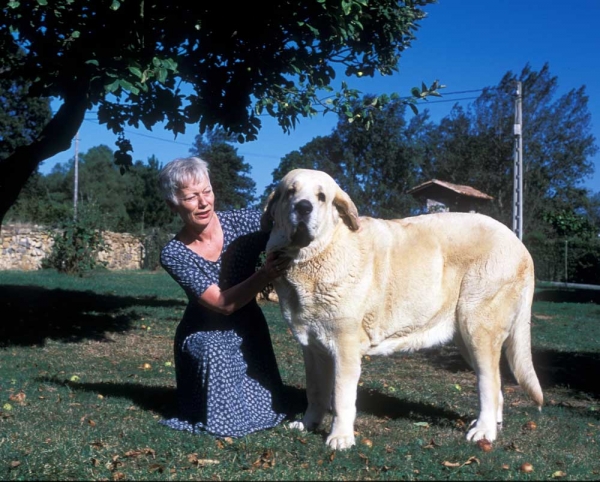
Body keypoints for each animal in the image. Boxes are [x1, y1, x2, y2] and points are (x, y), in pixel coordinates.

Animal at [262, 168, 544, 450]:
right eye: (290, 192)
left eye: (321, 197)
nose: (303, 207)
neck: (316, 254)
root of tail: (519, 245)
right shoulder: (312, 349)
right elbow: (315, 391)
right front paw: (308, 424)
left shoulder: (345, 347)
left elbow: (341, 396)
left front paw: (340, 437)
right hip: (466, 337)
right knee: (494, 384)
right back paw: (490, 424)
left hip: (478, 328)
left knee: (490, 381)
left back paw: (484, 430)